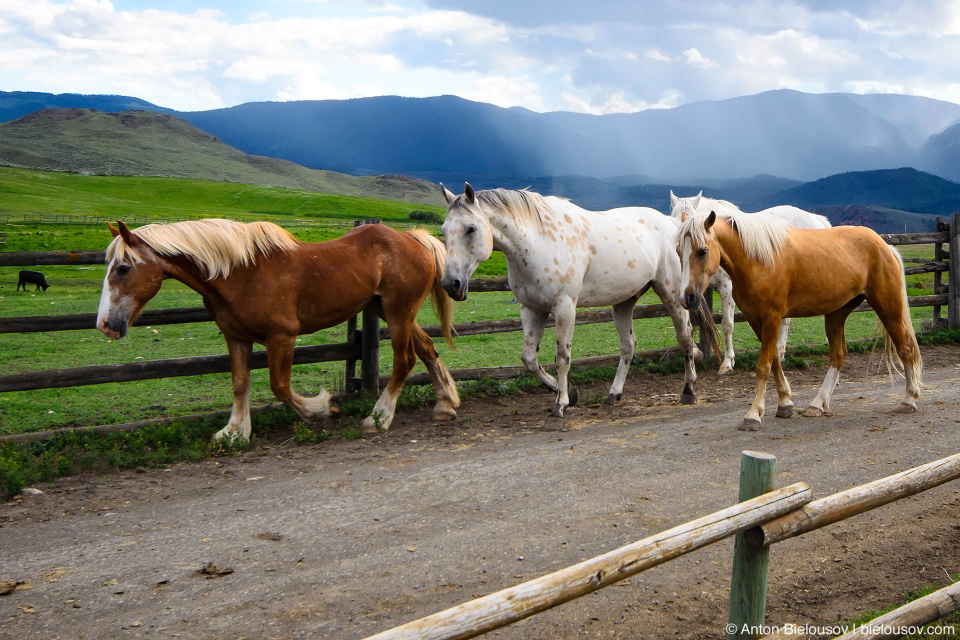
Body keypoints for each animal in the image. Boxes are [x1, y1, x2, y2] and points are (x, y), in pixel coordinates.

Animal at [97, 220, 458, 440]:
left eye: (123, 268)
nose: (106, 325)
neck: (240, 272)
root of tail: (414, 238)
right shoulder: (236, 336)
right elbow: (240, 384)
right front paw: (234, 432)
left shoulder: (281, 337)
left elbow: (280, 387)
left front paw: (322, 409)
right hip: (388, 310)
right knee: (427, 348)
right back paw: (445, 403)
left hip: (398, 314)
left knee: (404, 361)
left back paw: (379, 417)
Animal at [438, 184, 716, 424]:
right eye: (443, 230)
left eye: (471, 229)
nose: (450, 284)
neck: (538, 242)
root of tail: (673, 226)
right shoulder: (532, 310)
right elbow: (529, 359)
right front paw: (569, 393)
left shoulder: (564, 307)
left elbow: (562, 357)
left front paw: (559, 407)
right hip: (624, 301)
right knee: (628, 346)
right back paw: (612, 397)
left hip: (672, 295)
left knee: (685, 338)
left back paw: (688, 390)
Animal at [676, 210, 924, 430]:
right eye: (678, 250)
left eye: (702, 251)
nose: (686, 297)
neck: (758, 260)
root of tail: (884, 246)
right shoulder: (756, 320)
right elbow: (775, 360)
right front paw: (785, 403)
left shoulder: (772, 317)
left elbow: (763, 366)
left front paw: (754, 414)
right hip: (836, 314)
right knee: (838, 355)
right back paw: (817, 404)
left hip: (888, 309)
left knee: (905, 349)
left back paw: (909, 399)